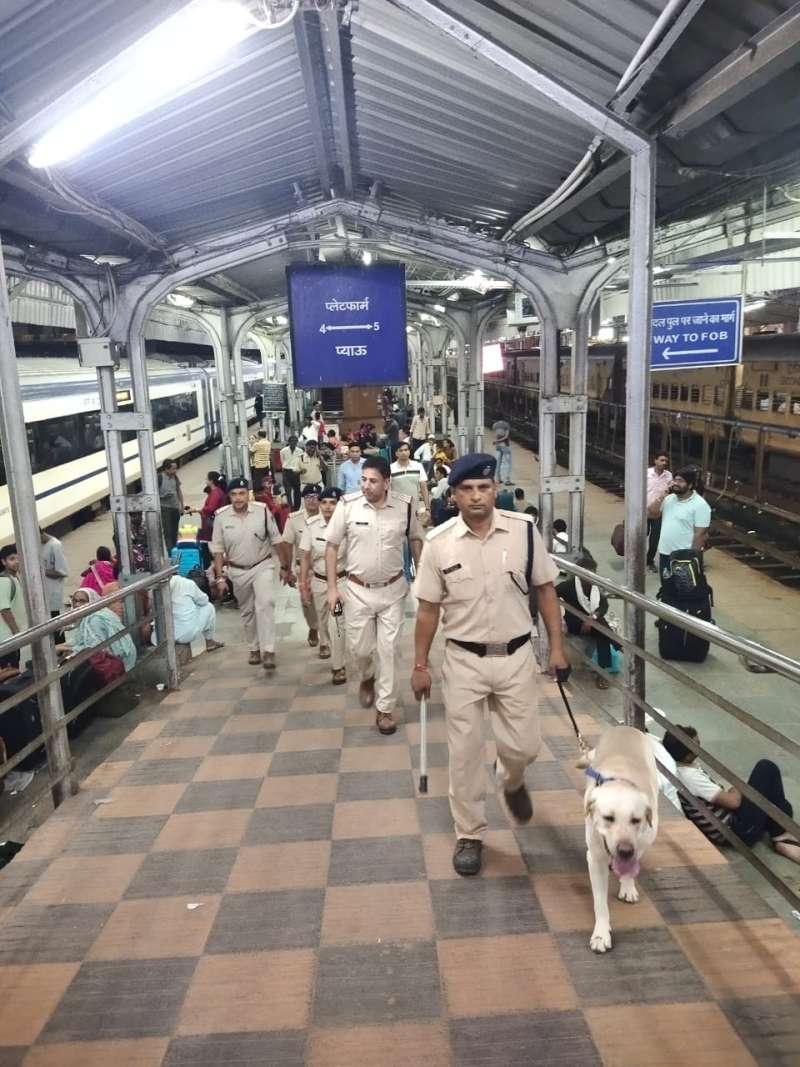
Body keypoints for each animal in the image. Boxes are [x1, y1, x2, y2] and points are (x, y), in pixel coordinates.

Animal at [581, 725, 659, 953]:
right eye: (608, 818)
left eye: (636, 820)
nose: (625, 850)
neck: (622, 779)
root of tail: (626, 726)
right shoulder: (595, 857)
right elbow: (600, 901)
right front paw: (601, 934)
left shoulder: (642, 842)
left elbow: (632, 866)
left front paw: (627, 886)